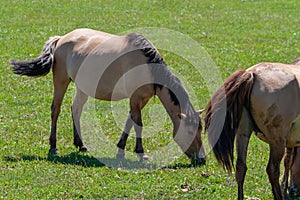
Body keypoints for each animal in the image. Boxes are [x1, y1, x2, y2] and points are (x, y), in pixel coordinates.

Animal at [9, 28, 206, 166]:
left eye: (200, 130)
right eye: (190, 131)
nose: (202, 158)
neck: (147, 66)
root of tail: (61, 39)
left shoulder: (141, 99)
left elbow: (130, 121)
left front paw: (120, 150)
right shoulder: (135, 98)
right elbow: (138, 124)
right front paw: (141, 153)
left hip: (82, 87)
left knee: (76, 109)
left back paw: (81, 144)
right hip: (61, 81)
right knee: (55, 110)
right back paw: (53, 147)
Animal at [205, 58, 300, 200]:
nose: (294, 189)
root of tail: (252, 74)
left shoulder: (291, 141)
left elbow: (288, 161)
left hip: (243, 132)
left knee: (240, 167)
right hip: (277, 140)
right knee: (272, 170)